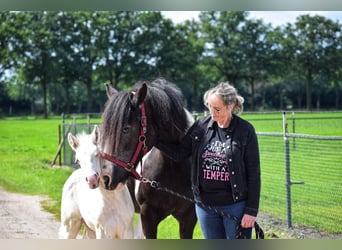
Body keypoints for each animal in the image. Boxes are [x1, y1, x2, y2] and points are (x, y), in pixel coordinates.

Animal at [100, 79, 198, 239]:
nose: (106, 177)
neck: (174, 169)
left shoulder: (189, 218)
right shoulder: (148, 215)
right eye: (105, 130)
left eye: (126, 129)